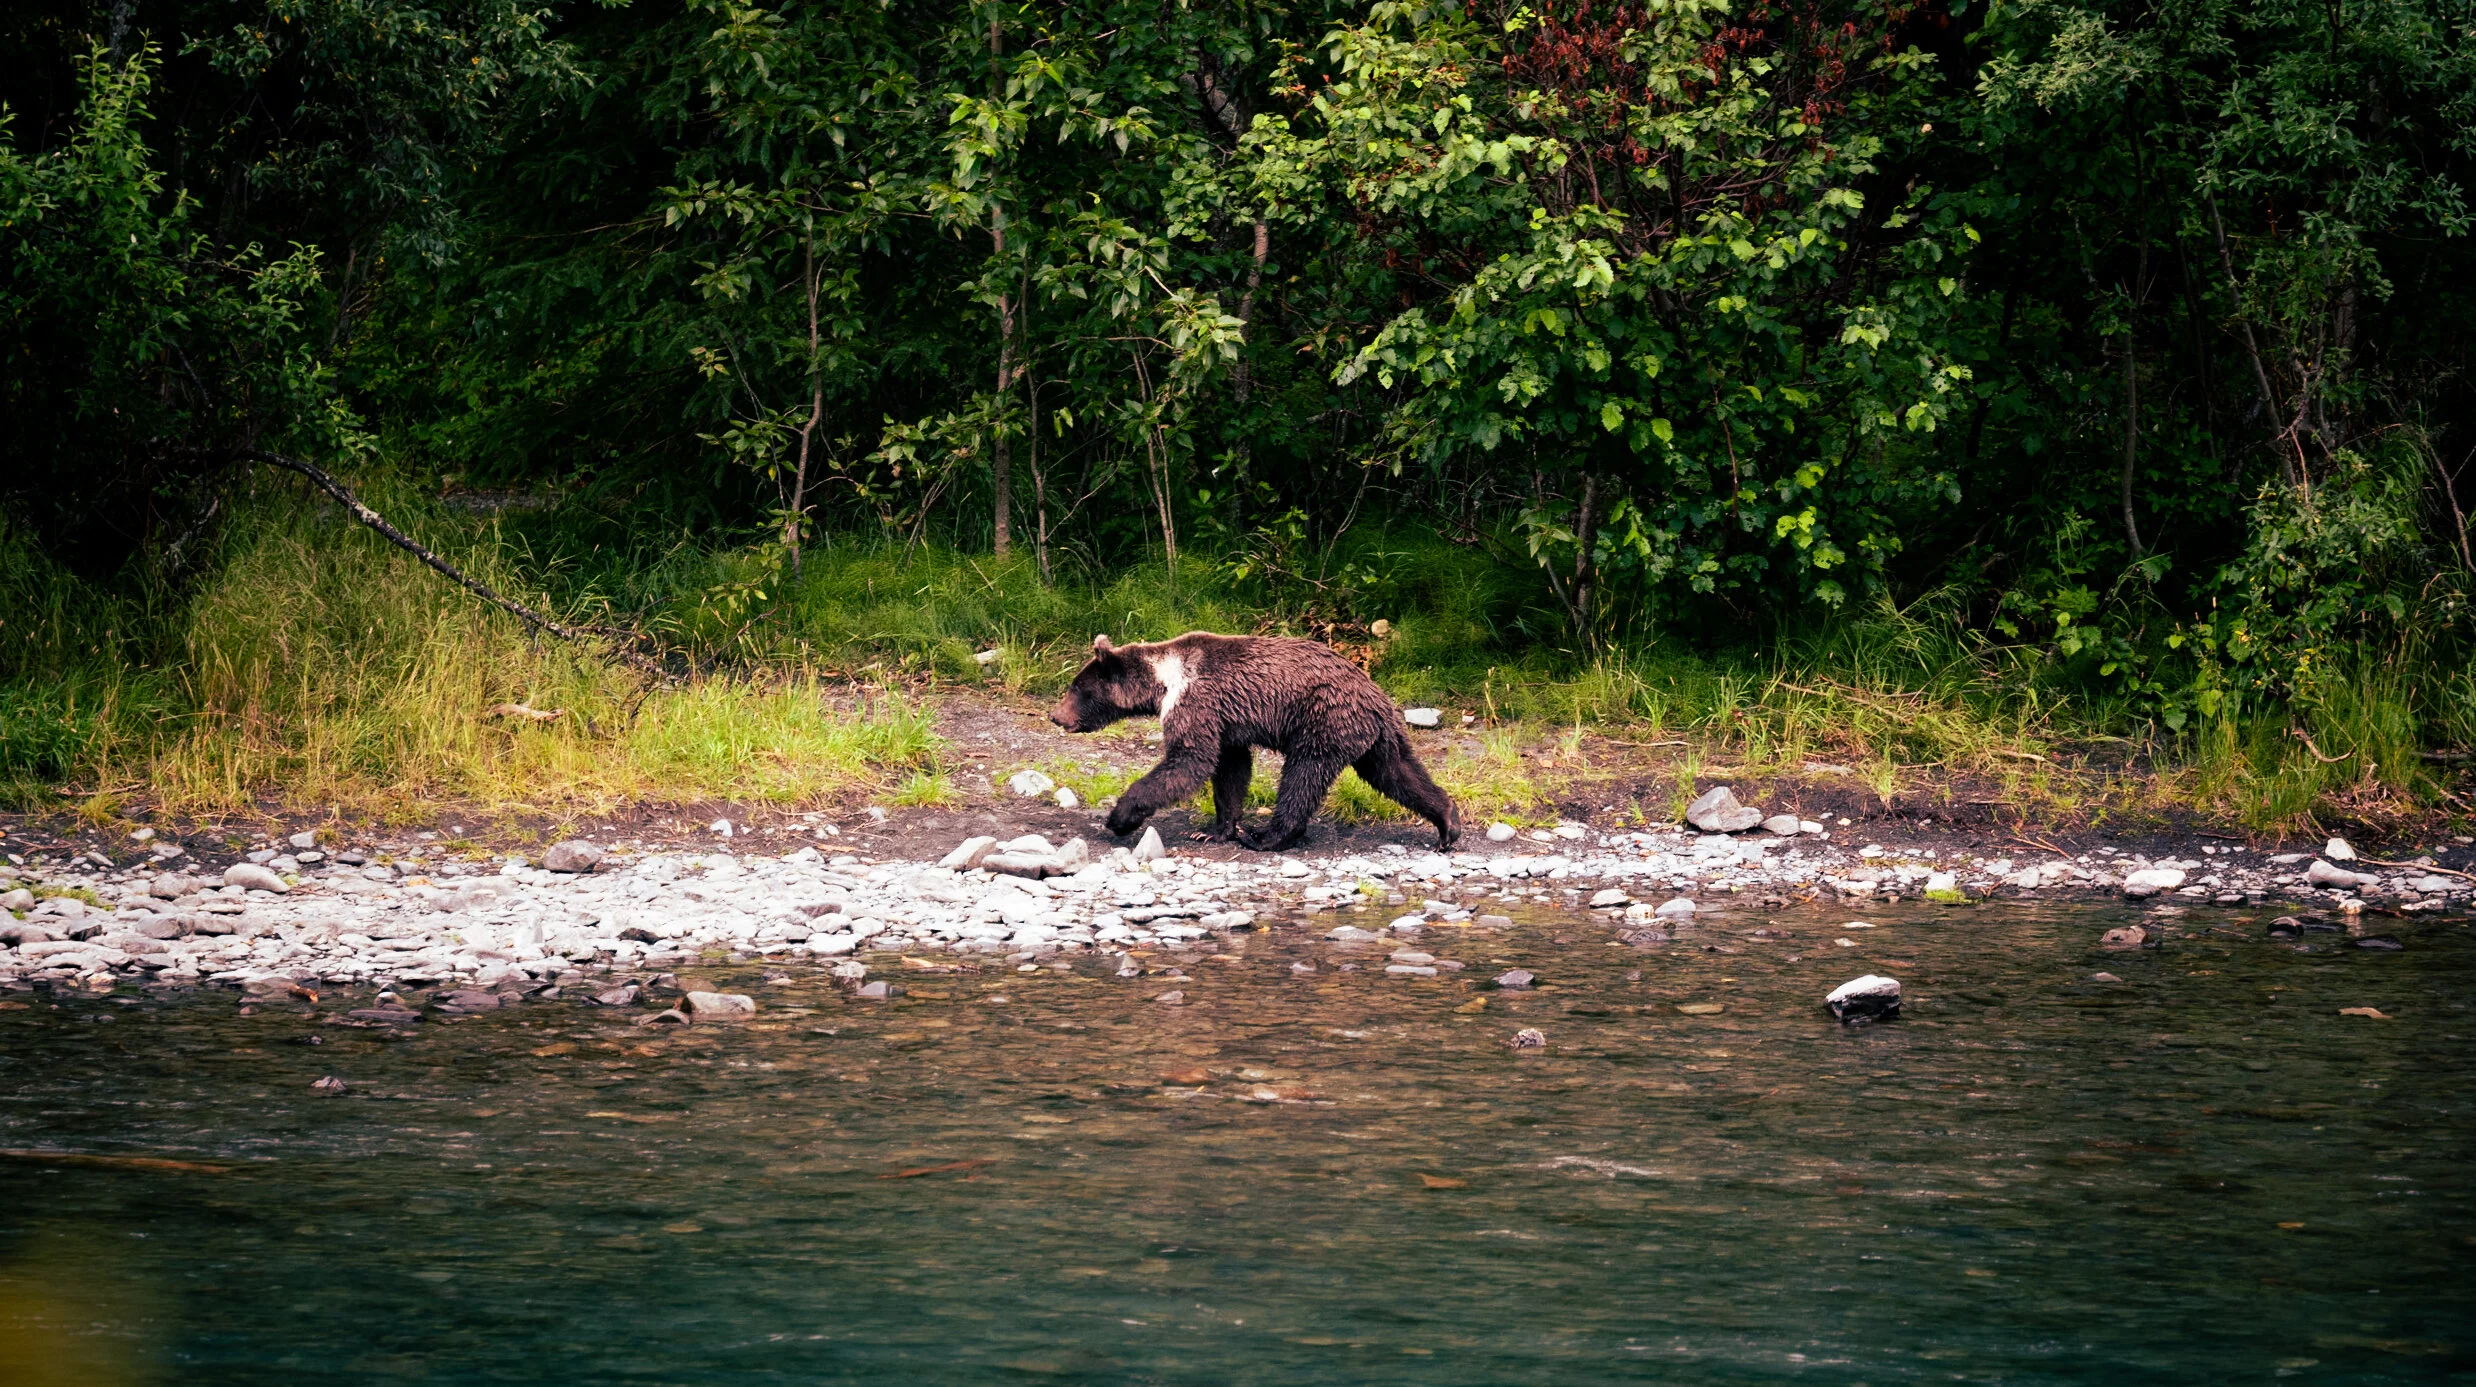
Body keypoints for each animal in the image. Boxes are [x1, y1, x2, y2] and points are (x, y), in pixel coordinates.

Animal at [1048, 631, 1461, 851]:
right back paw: (1447, 823)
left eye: (1076, 688)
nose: (1056, 715)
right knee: (1397, 772)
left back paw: (1267, 836)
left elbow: (1188, 761)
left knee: (1302, 775)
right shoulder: (1226, 722)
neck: (1161, 684)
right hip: (1375, 735)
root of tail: (1375, 695)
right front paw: (1213, 830)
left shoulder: (1195, 702)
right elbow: (1230, 770)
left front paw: (1119, 817)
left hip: (1323, 720)